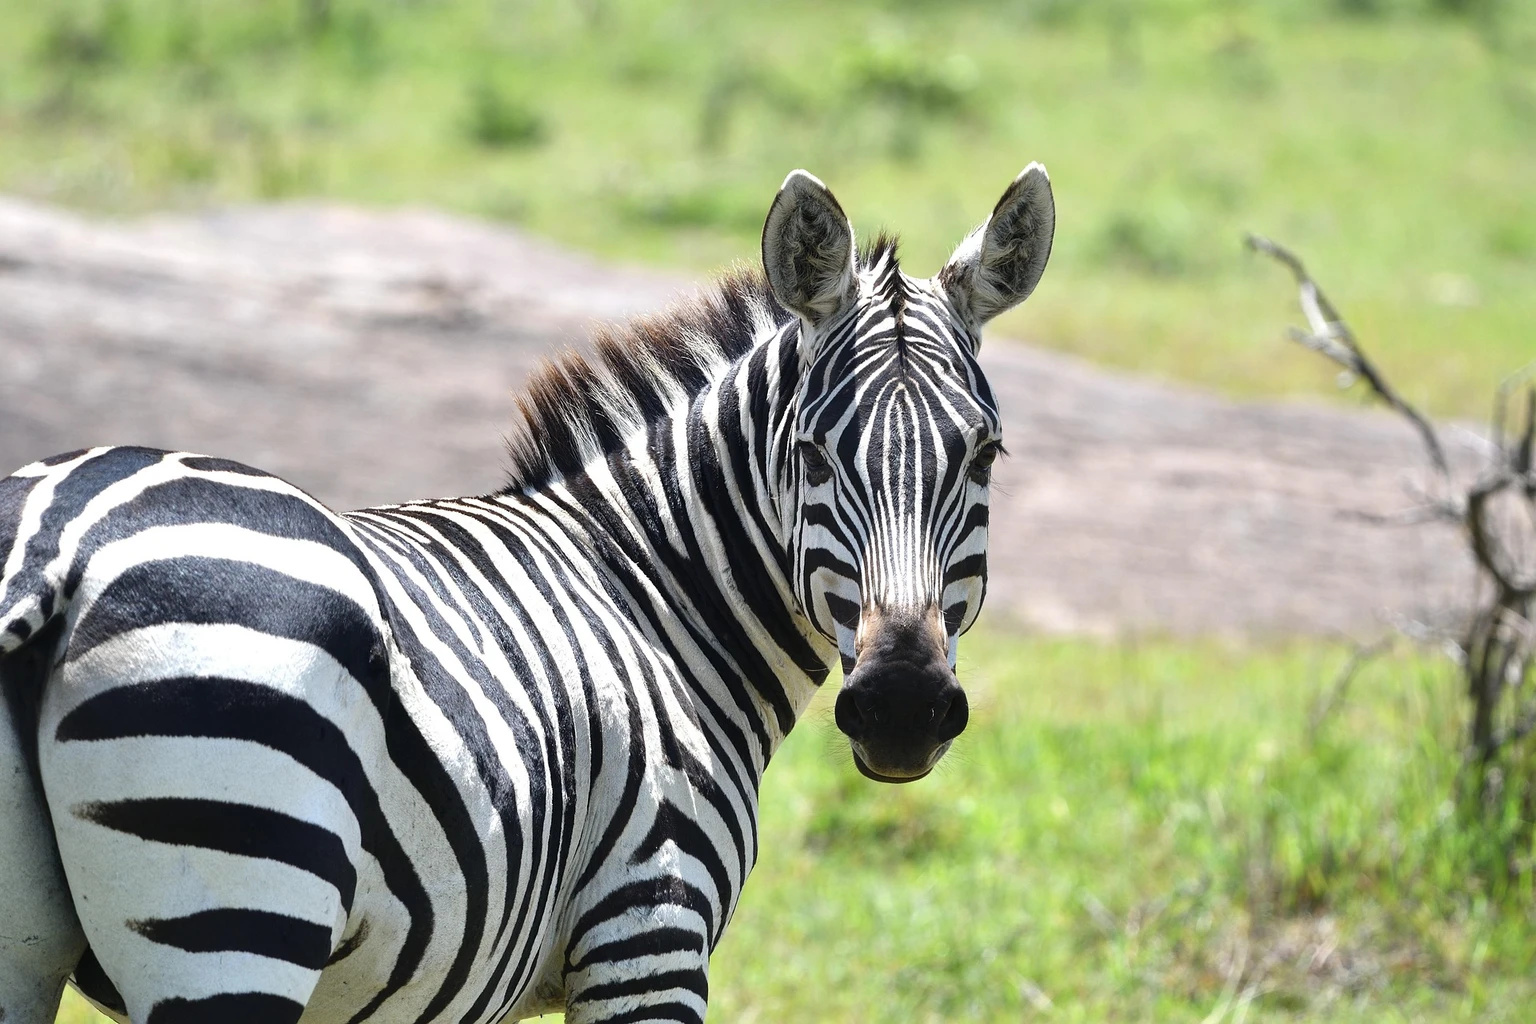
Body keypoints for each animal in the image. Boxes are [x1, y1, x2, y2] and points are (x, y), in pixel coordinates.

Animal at [0, 165, 1054, 1024]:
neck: (650, 593)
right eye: (812, 455)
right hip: (236, 899)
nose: (902, 708)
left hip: (38, 945)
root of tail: (59, 535)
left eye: (985, 455)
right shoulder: (648, 929)